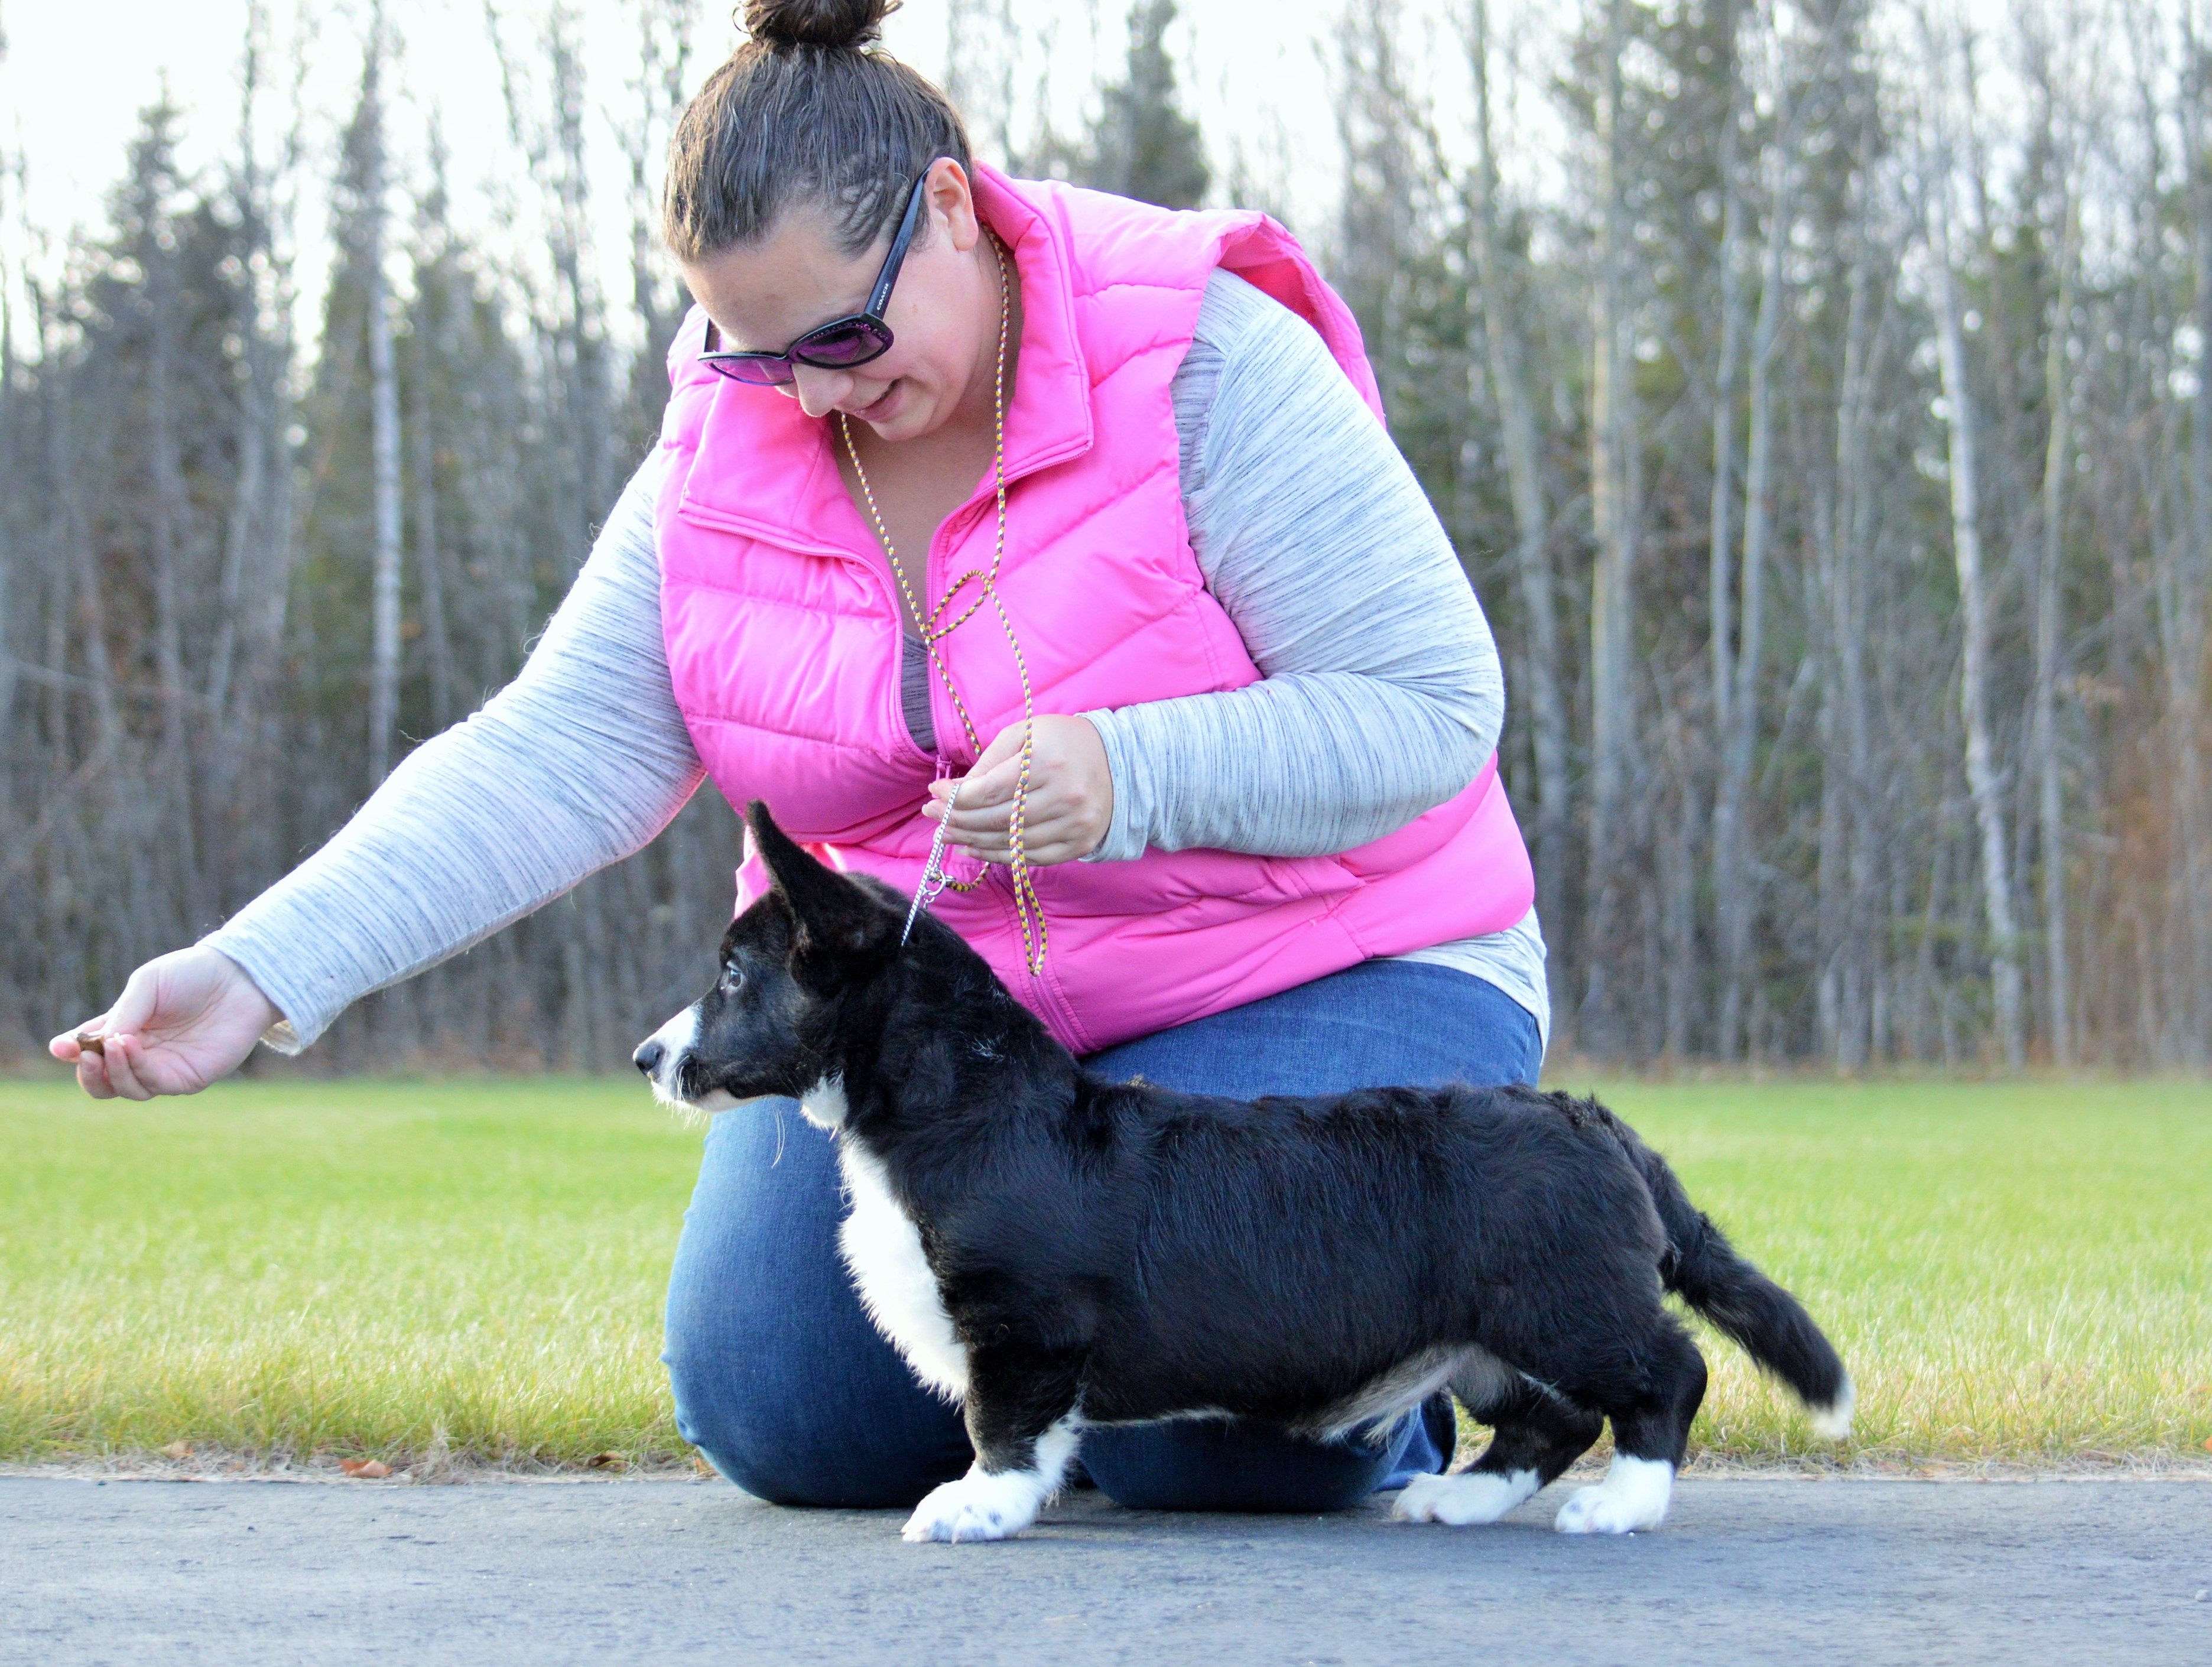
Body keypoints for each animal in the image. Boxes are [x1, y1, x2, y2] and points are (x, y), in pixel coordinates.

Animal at [635, 802, 1853, 1544]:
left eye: (736, 976)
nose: (647, 1057)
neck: (957, 1099)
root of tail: (1594, 1121)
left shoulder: (1022, 1323)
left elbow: (1003, 1428)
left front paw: (973, 1508)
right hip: (1480, 1334)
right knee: (1545, 1421)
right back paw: (1457, 1501)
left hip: (1561, 1303)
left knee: (1663, 1376)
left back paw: (1622, 1506)